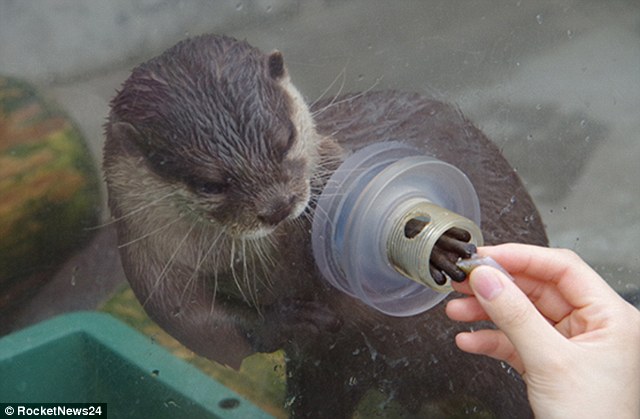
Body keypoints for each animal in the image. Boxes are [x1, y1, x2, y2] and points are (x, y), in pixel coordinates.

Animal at [104, 34, 544, 418]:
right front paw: (289, 321)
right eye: (209, 184)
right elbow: (196, 325)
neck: (258, 263)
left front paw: (439, 246)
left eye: (284, 139)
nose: (278, 206)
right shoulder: (146, 255)